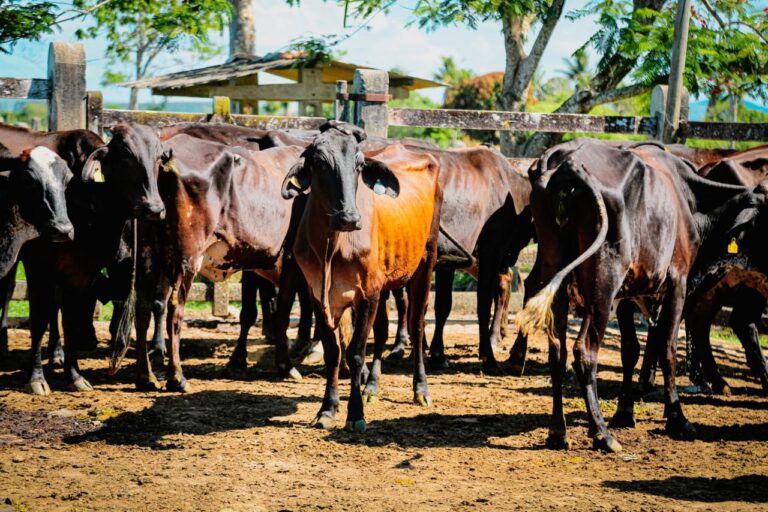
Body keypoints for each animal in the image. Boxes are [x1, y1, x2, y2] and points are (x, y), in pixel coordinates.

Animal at [282, 122, 440, 430]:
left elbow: (355, 353)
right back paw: (372, 387)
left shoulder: (366, 295)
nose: (350, 218)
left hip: (426, 260)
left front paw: (355, 414)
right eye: (320, 163)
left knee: (416, 326)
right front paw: (327, 409)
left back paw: (421, 390)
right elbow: (333, 352)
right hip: (385, 281)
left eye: (358, 165)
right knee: (382, 332)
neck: (331, 246)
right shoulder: (318, 295)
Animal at [516, 139, 768, 452]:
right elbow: (667, 349)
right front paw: (676, 416)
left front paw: (625, 411)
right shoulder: (677, 282)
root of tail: (565, 162)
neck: (689, 197)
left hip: (556, 272)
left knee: (558, 350)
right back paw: (602, 433)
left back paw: (558, 431)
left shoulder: (629, 295)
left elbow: (631, 350)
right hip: (604, 281)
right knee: (584, 350)